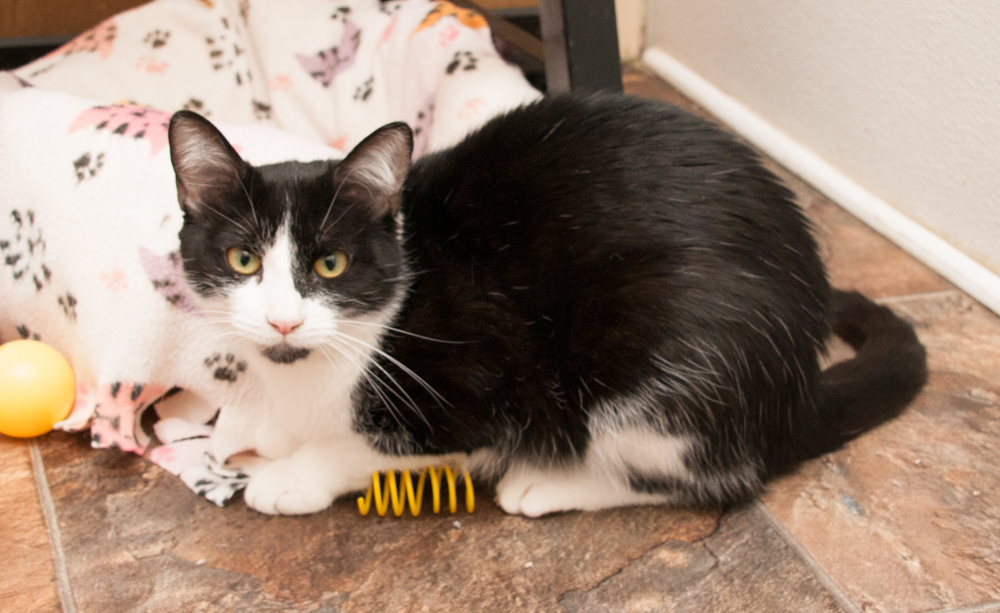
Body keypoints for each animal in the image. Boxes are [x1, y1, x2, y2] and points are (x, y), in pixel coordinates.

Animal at [168, 93, 924, 516]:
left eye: (331, 263)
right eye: (242, 260)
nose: (283, 319)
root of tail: (796, 392)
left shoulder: (477, 388)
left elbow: (367, 447)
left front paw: (292, 474)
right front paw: (268, 428)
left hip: (656, 362)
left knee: (719, 478)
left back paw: (548, 485)